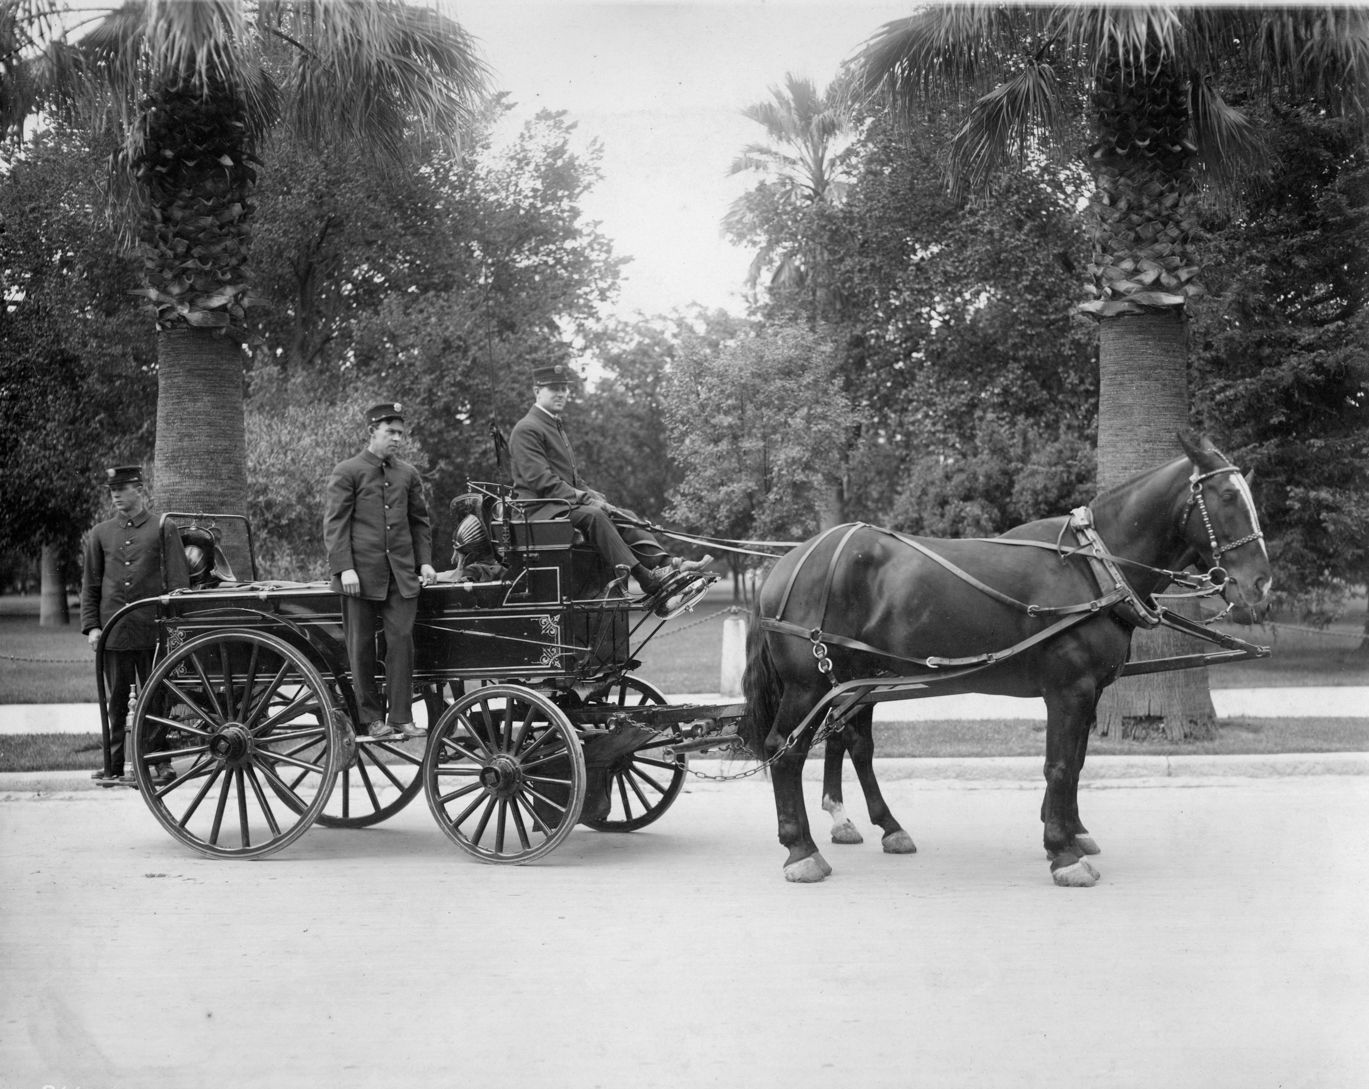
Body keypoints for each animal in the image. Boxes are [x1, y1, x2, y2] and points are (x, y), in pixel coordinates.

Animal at [739, 430, 1270, 887]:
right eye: (1226, 497)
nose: (1260, 586)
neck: (1094, 570)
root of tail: (785, 564)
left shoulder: (1092, 691)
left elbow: (1077, 762)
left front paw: (1071, 831)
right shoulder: (1069, 689)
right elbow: (1059, 765)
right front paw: (1062, 851)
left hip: (858, 678)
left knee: (853, 743)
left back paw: (884, 826)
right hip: (809, 684)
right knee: (785, 748)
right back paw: (801, 849)